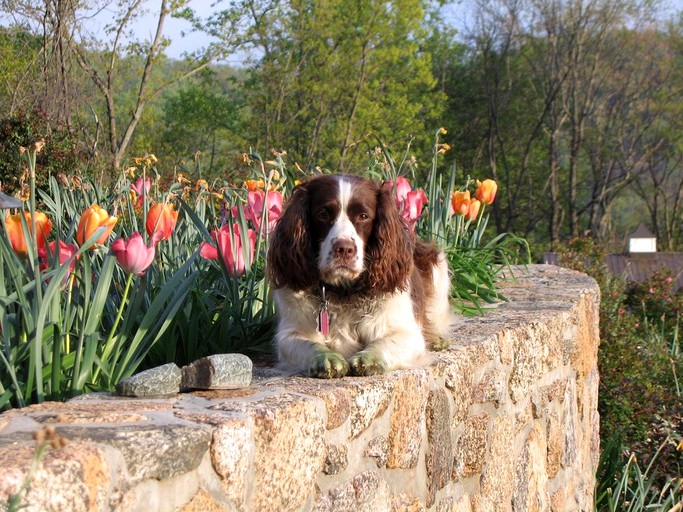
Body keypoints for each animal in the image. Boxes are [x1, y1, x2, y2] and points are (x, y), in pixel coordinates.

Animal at [268, 174, 454, 378]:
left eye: (363, 216)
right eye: (323, 215)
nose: (344, 249)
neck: (344, 292)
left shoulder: (406, 332)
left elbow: (385, 342)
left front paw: (369, 358)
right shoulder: (290, 335)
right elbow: (309, 344)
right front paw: (326, 358)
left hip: (439, 269)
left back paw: (436, 339)